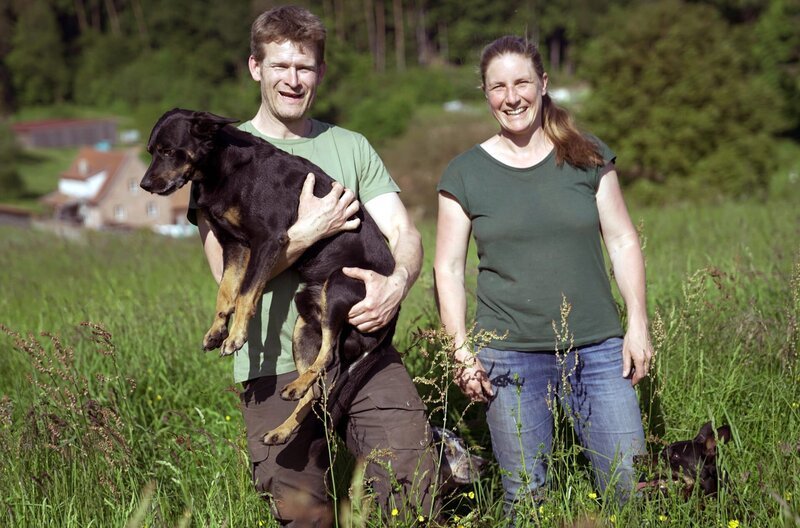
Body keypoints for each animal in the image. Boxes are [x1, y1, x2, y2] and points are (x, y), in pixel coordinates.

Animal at [141, 108, 400, 446]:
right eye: (151, 151)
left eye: (169, 151)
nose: (144, 185)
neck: (224, 168)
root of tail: (392, 320)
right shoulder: (235, 246)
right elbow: (226, 291)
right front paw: (216, 329)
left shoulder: (267, 240)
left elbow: (245, 292)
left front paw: (236, 336)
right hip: (305, 323)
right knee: (316, 389)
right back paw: (285, 421)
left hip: (340, 285)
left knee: (330, 357)